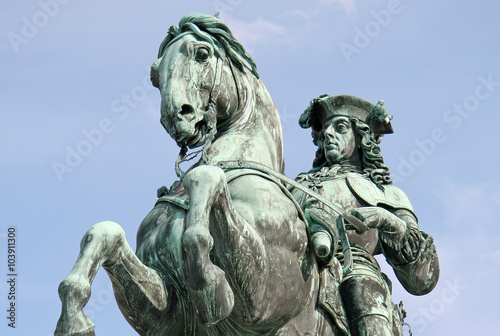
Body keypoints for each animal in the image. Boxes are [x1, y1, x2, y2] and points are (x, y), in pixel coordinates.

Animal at [56, 13, 342, 336]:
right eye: (154, 75)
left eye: (202, 53)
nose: (175, 116)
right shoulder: (170, 312)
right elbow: (107, 232)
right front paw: (74, 318)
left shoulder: (267, 297)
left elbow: (204, 180)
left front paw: (210, 285)